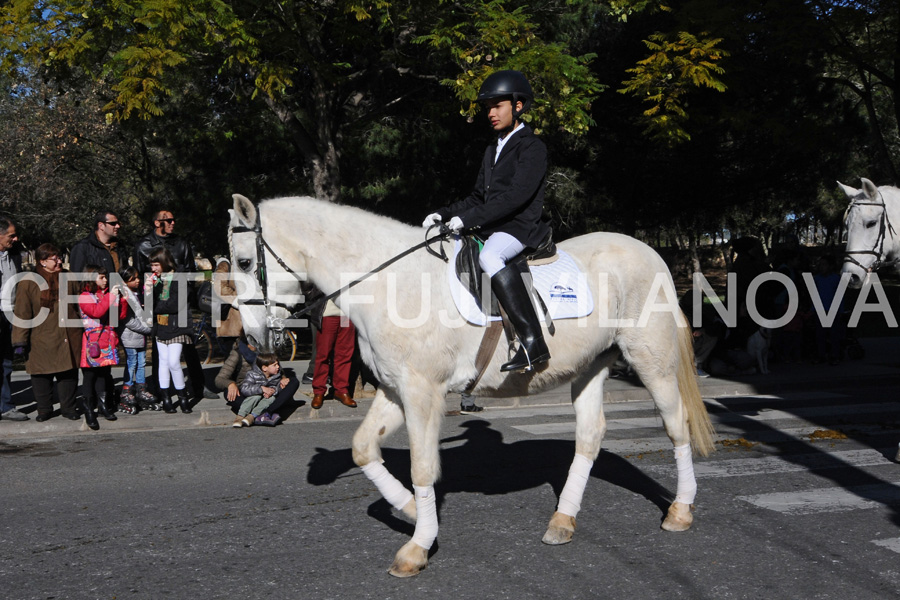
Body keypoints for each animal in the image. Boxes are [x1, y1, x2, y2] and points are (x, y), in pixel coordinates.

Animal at [229, 192, 712, 576]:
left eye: (244, 262)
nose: (255, 341)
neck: (389, 280)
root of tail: (650, 252)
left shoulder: (422, 392)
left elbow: (423, 468)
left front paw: (417, 548)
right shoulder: (395, 390)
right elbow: (364, 448)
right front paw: (408, 509)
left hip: (651, 361)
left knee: (676, 424)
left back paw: (681, 511)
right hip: (591, 367)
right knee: (590, 436)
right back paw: (562, 521)